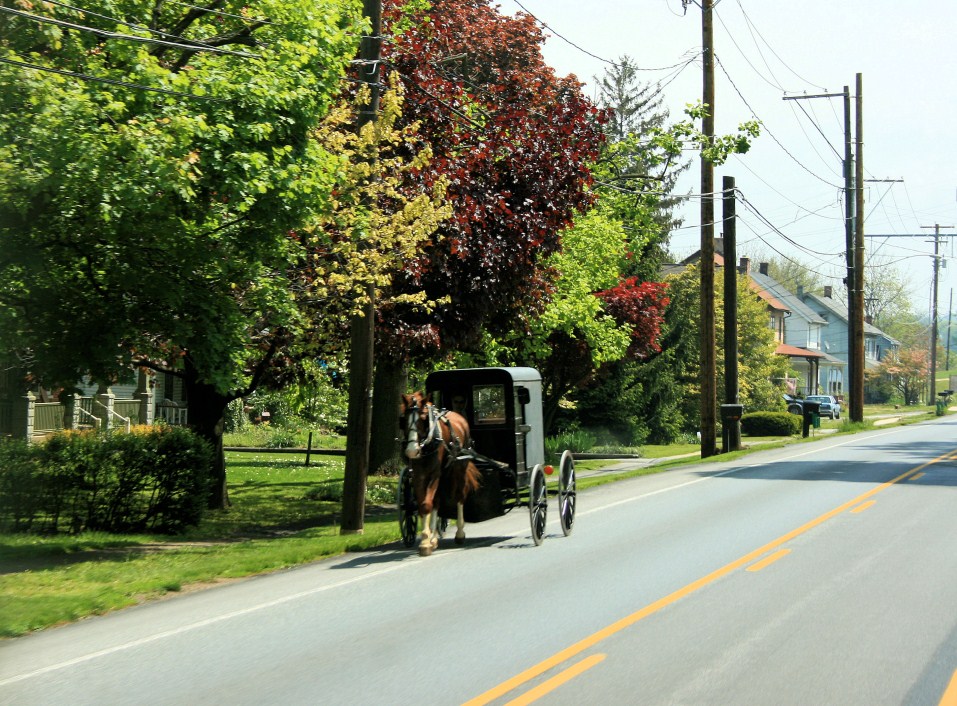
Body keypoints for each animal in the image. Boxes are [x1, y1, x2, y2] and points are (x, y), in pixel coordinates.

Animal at [398, 390, 482, 556]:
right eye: (403, 418)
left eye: (423, 418)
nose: (412, 450)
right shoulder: (418, 475)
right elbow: (424, 504)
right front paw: (427, 539)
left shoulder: (434, 474)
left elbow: (426, 504)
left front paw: (425, 540)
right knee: (437, 501)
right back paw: (434, 537)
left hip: (458, 469)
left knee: (459, 496)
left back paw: (459, 533)